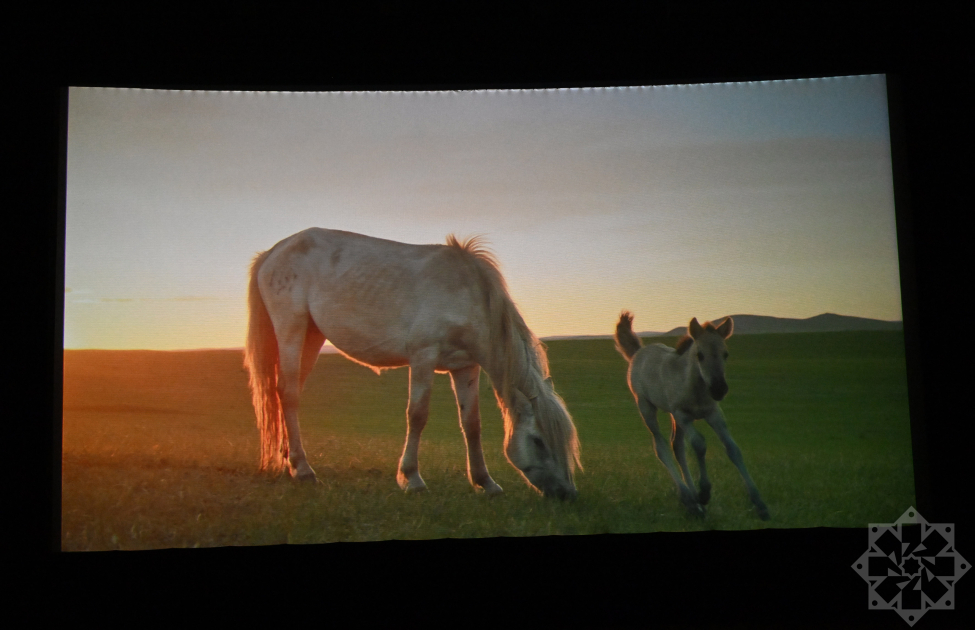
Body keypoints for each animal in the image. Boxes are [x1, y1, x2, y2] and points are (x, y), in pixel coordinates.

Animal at [244, 228, 581, 500]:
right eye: (538, 441)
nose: (567, 494)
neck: (467, 294)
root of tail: (273, 251)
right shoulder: (423, 358)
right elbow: (417, 416)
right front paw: (412, 478)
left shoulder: (465, 367)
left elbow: (471, 424)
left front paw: (485, 482)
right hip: (291, 329)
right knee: (288, 393)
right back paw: (302, 469)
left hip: (312, 337)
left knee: (287, 393)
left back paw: (288, 458)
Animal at [614, 311, 769, 520]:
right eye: (700, 355)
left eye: (726, 354)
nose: (719, 389)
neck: (697, 389)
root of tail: (638, 352)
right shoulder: (683, 415)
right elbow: (699, 444)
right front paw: (704, 492)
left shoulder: (714, 414)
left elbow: (733, 449)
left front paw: (760, 504)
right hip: (647, 407)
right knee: (661, 446)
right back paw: (689, 497)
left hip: (673, 416)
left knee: (677, 446)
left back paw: (694, 503)